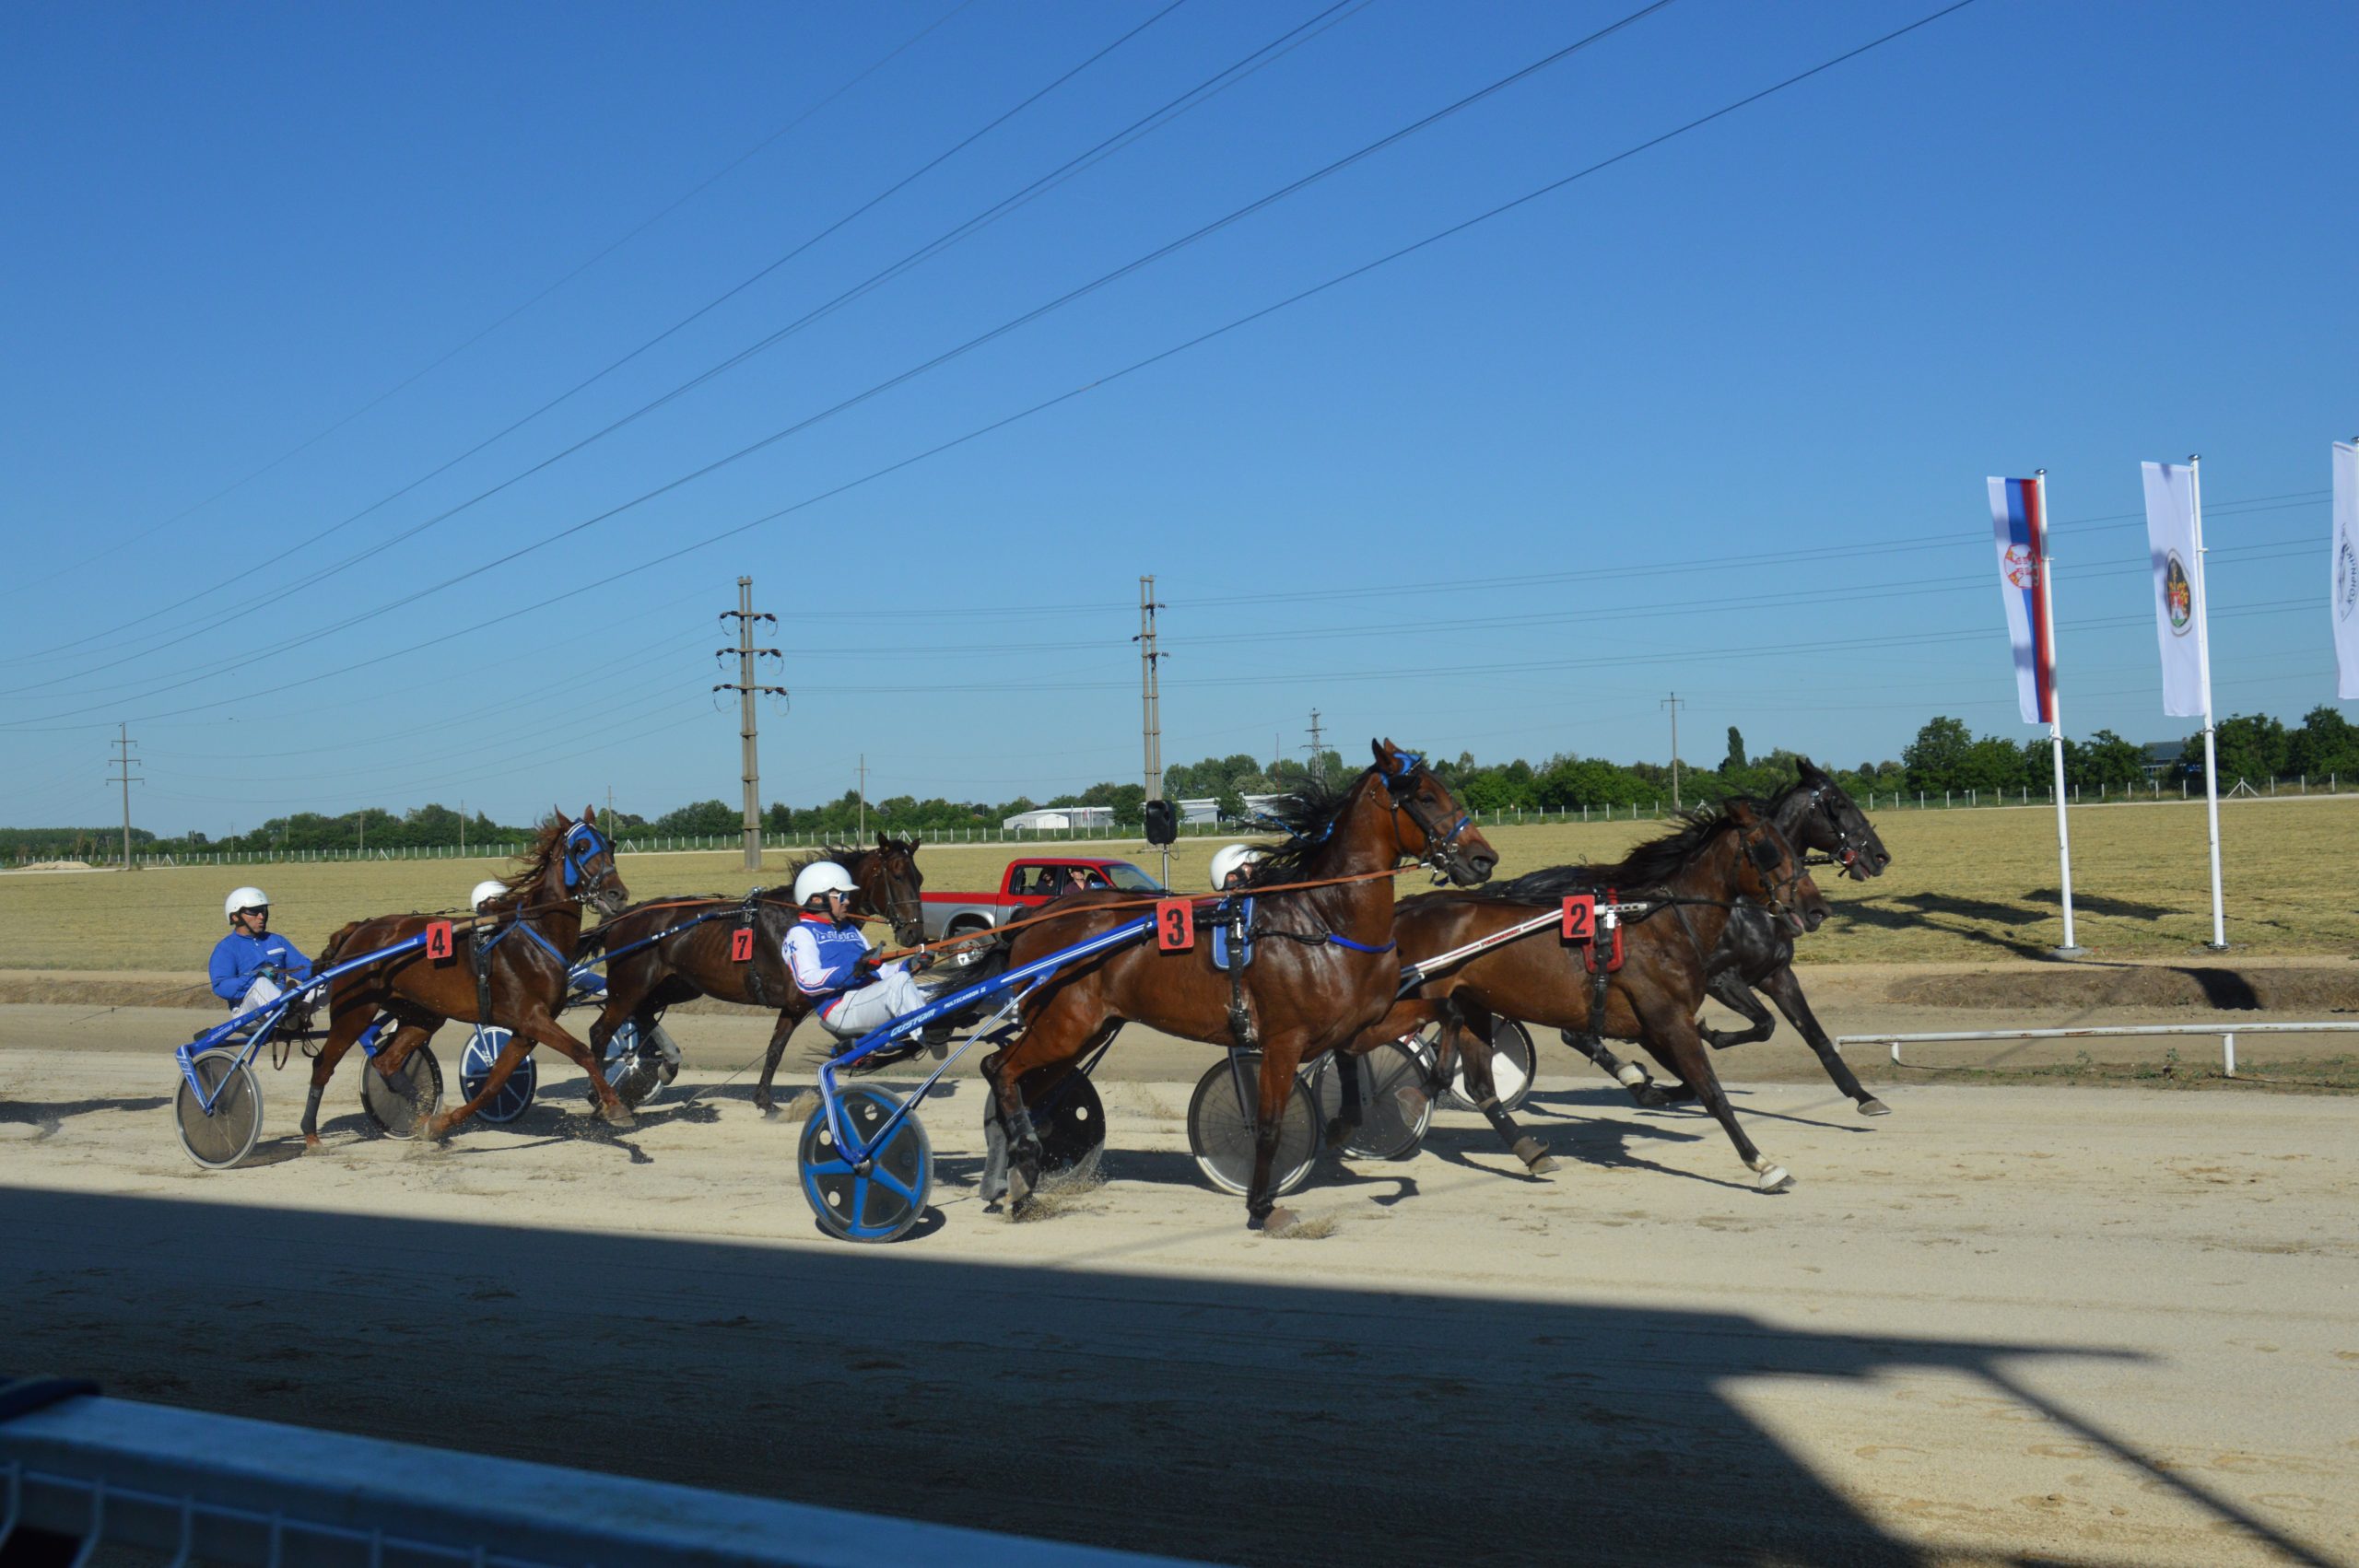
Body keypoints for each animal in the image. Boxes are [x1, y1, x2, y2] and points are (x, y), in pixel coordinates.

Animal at [304, 802, 637, 1145]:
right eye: (581, 847)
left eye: (610, 844)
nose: (616, 894)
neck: (535, 935)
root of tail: (358, 929)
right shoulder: (533, 1017)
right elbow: (583, 1053)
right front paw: (615, 1107)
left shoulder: (526, 1030)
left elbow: (493, 1083)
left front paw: (439, 1125)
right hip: (354, 1012)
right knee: (323, 1064)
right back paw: (311, 1136)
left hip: (423, 1015)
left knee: (386, 1061)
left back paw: (419, 1117)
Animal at [575, 829, 924, 1113]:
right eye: (896, 875)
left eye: (918, 878)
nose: (914, 933)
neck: (803, 914)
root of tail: (622, 918)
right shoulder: (800, 995)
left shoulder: (794, 1005)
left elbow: (775, 1049)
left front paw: (764, 1100)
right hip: (629, 985)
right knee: (601, 1031)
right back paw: (599, 1094)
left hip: (677, 985)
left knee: (645, 1013)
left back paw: (668, 1065)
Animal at [976, 740, 1490, 1225]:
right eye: (1425, 796)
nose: (1484, 858)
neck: (1325, 919)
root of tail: (1033, 920)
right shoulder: (1284, 1040)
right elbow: (1269, 1124)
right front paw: (1261, 1205)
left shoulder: (1361, 1023)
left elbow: (1444, 1015)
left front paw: (1414, 1095)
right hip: (1064, 1025)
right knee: (999, 1069)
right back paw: (1022, 1159)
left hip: (1081, 1033)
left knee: (1017, 1084)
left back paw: (1014, 1179)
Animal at [1378, 802, 1821, 1193]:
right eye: (1769, 848)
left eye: (1792, 845)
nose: (1816, 907)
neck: (1659, 922)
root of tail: (1405, 908)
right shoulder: (1668, 1019)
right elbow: (1712, 1092)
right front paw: (1763, 1165)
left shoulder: (1653, 1023)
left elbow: (1688, 1083)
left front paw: (1647, 1086)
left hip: (1474, 1006)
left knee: (1481, 1085)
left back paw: (1530, 1152)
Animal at [1566, 759, 1896, 1113]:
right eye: (1839, 803)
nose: (1881, 856)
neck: (1745, 906)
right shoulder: (1721, 978)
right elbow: (1764, 1024)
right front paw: (1708, 1035)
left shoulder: (1777, 974)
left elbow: (1814, 1035)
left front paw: (1864, 1096)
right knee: (1578, 1036)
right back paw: (1639, 1080)